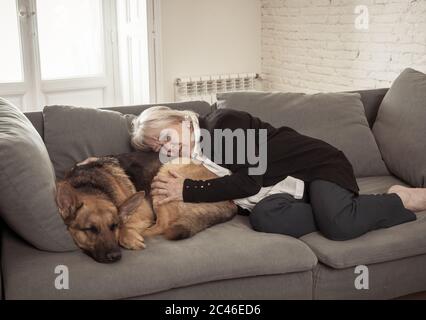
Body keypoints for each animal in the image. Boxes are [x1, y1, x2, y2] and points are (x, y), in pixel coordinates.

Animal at [55, 151, 238, 264]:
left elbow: (125, 224)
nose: (115, 256)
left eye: (113, 226)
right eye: (89, 230)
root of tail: (231, 202)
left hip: (165, 173)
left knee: (163, 225)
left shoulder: (143, 212)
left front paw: (128, 235)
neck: (90, 186)